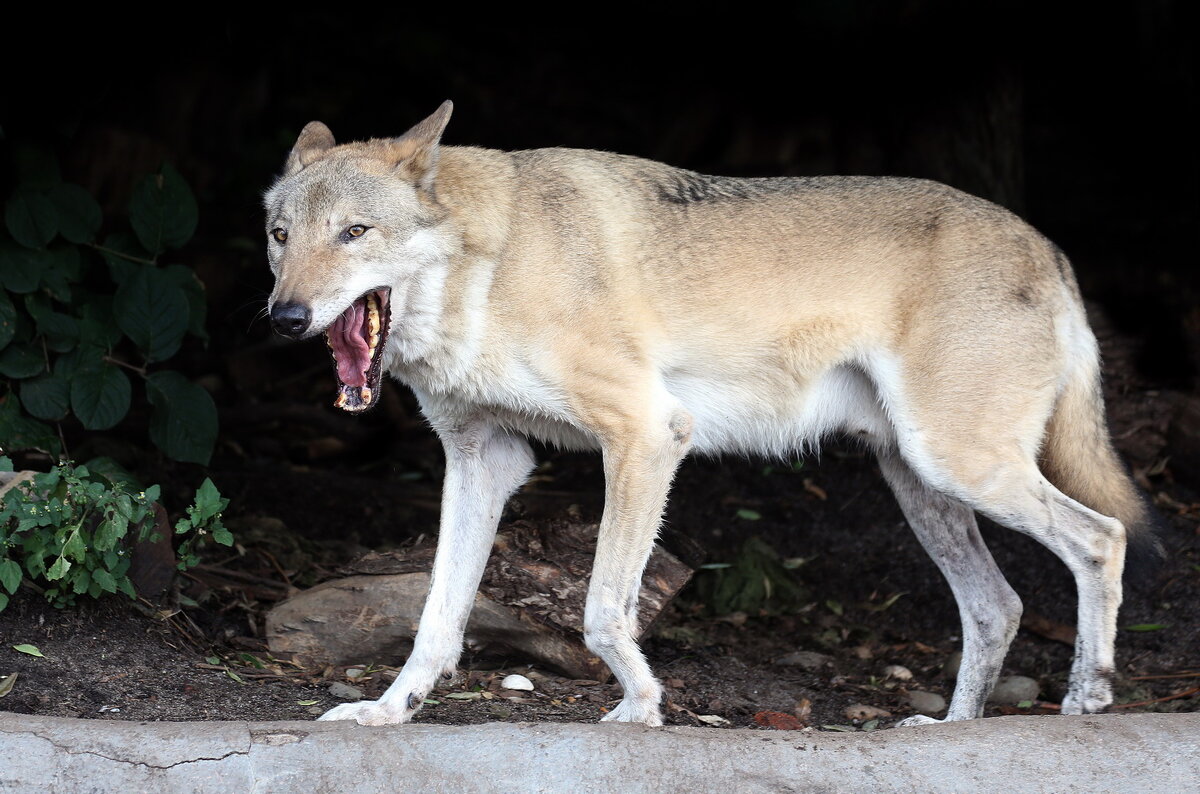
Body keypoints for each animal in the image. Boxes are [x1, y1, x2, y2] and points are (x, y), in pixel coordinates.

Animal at [265, 102, 1152, 729]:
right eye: (280, 235)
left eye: (354, 232)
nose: (284, 317)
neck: (491, 265)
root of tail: (1052, 250)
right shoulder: (485, 460)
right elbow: (436, 618)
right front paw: (389, 712)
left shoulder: (648, 434)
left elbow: (602, 612)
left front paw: (640, 707)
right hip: (921, 482)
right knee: (999, 606)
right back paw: (951, 730)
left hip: (960, 465)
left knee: (1102, 538)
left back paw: (1088, 699)